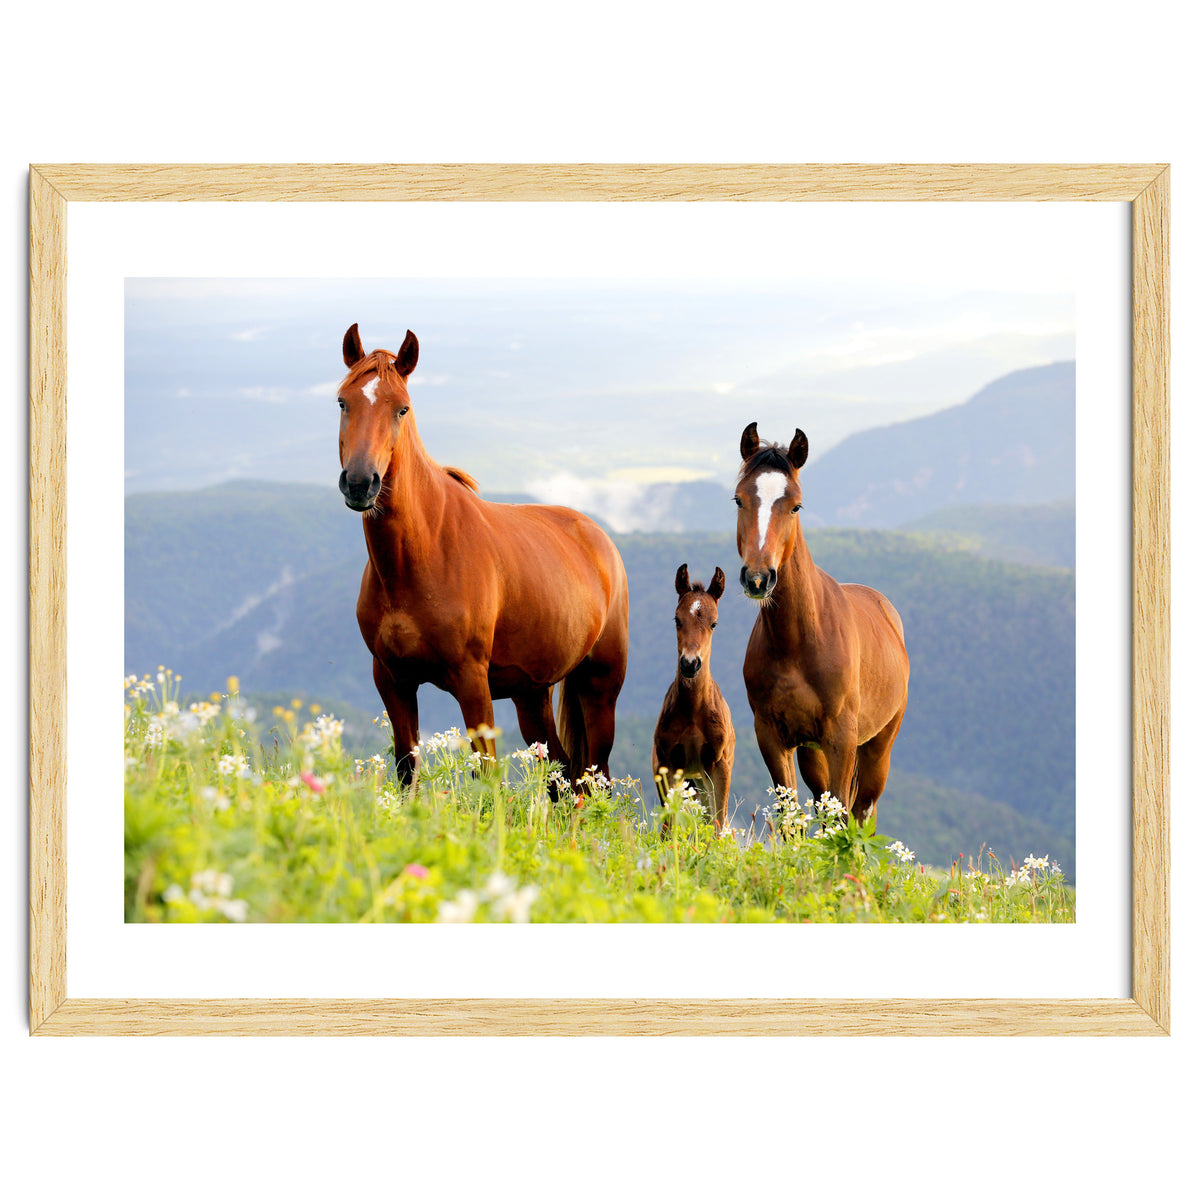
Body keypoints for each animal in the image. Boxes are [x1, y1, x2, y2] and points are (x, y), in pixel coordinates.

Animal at [336, 323, 629, 786]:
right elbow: (406, 769)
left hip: (600, 686)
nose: (361, 483)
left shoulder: (472, 681)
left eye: (401, 409)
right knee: (561, 773)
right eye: (343, 402)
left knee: (592, 777)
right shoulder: (392, 679)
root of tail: (600, 539)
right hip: (532, 694)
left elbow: (487, 776)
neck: (420, 557)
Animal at [651, 565, 736, 829]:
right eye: (677, 619)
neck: (693, 711)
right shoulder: (667, 764)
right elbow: (668, 825)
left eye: (714, 623)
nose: (690, 663)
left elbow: (718, 823)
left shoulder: (719, 765)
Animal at [734, 423, 909, 821]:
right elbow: (790, 815)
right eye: (739, 500)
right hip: (812, 753)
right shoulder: (773, 737)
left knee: (862, 811)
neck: (798, 641)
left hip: (878, 747)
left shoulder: (841, 738)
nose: (758, 578)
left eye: (796, 505)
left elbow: (843, 813)